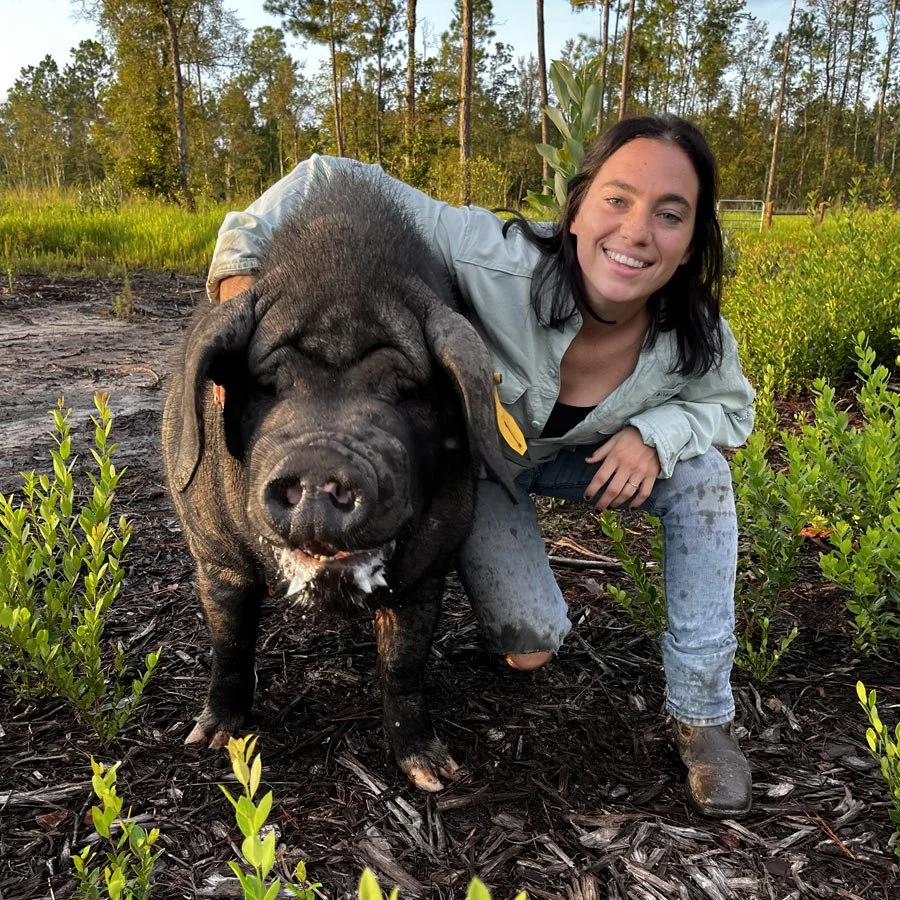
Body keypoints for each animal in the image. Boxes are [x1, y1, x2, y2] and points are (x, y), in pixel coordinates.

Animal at [161, 169, 514, 791]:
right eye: (267, 383)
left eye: (407, 389)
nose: (321, 462)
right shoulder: (215, 553)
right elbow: (229, 642)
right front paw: (209, 740)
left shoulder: (429, 570)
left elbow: (403, 666)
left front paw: (434, 773)